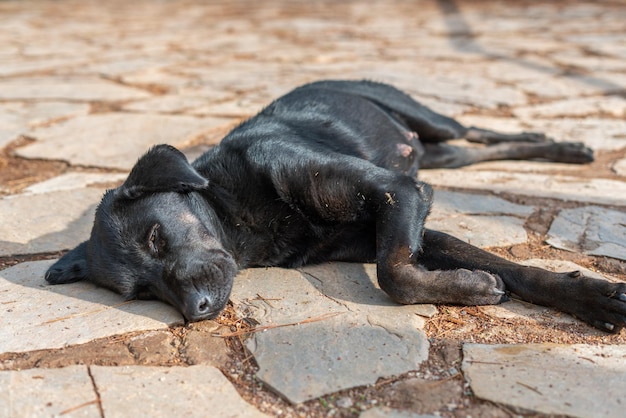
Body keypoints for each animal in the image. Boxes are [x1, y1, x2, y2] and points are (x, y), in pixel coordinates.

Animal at [45, 78, 624, 334]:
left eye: (156, 237)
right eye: (140, 292)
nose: (196, 312)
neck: (238, 213)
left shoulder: (399, 192)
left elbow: (395, 273)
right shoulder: (403, 218)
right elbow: (421, 269)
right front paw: (480, 285)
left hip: (431, 121)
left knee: (484, 131)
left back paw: (562, 146)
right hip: (442, 153)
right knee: (483, 149)